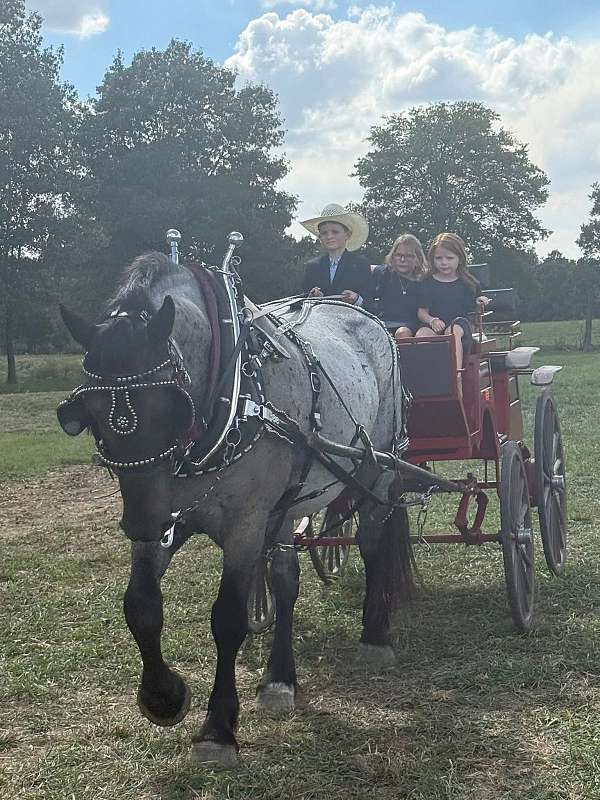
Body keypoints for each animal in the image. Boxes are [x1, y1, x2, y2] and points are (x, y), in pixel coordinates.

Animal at [57, 243, 414, 768]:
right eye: (90, 416)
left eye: (171, 408)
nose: (139, 523)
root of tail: (363, 315)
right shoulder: (167, 514)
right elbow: (141, 604)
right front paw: (163, 696)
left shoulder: (245, 523)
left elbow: (228, 618)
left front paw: (218, 728)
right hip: (288, 503)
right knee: (286, 580)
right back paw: (280, 679)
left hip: (380, 467)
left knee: (372, 543)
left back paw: (374, 634)